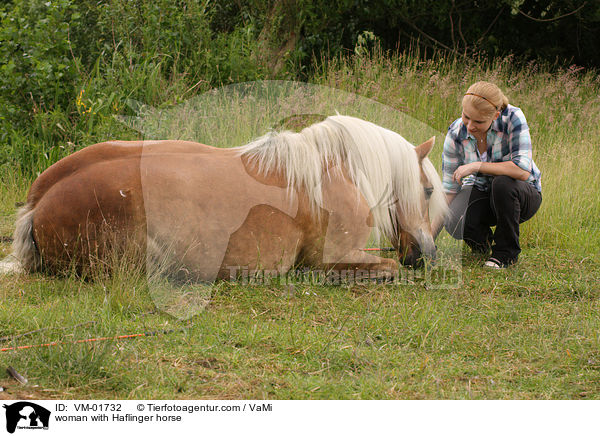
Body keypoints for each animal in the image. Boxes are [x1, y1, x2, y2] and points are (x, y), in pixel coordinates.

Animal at [0, 114, 448, 282]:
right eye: (427, 190)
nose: (426, 254)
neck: (334, 171)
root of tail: (39, 201)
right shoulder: (336, 257)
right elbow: (388, 267)